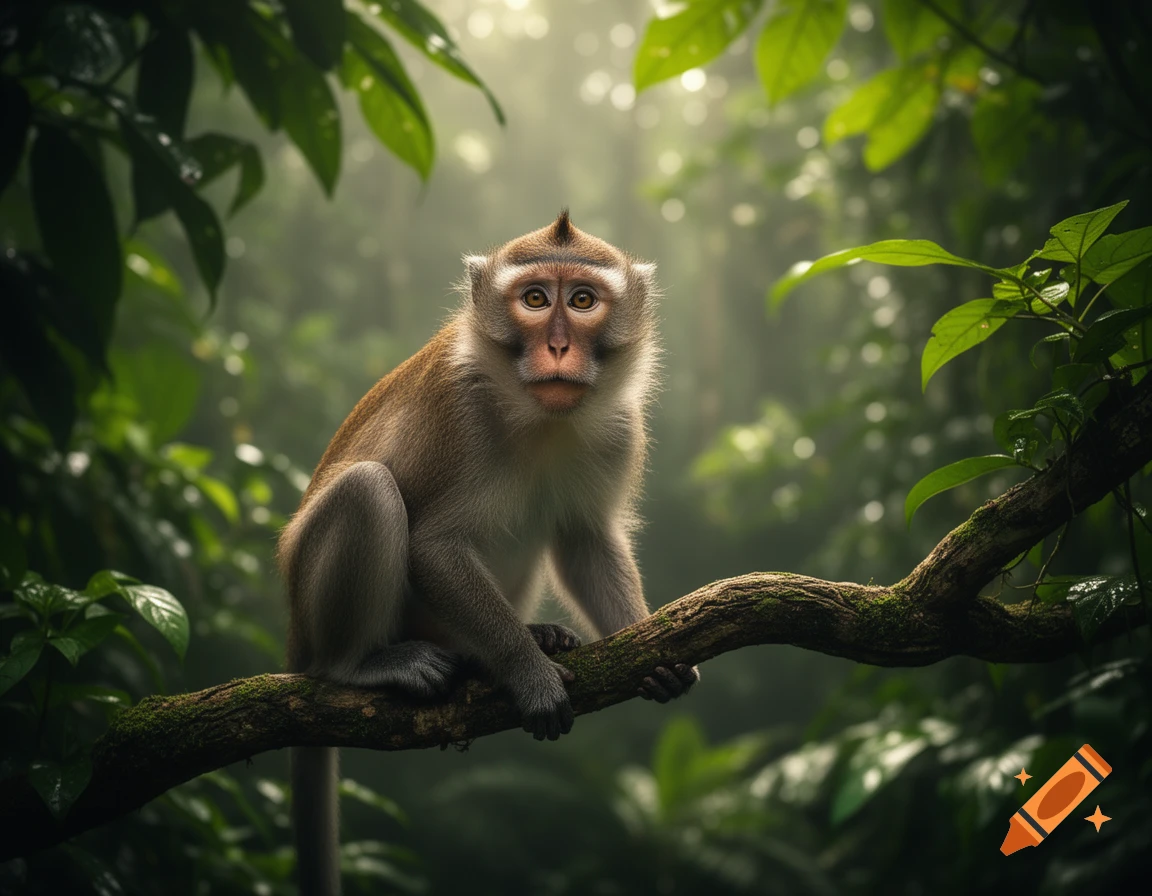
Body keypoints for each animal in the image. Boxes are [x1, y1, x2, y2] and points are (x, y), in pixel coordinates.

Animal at [278, 211, 699, 896]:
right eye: (535, 299)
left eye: (583, 301)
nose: (558, 347)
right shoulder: (460, 410)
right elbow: (432, 545)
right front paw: (527, 671)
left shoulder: (619, 428)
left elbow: (585, 538)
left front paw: (649, 651)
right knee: (367, 490)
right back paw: (362, 664)